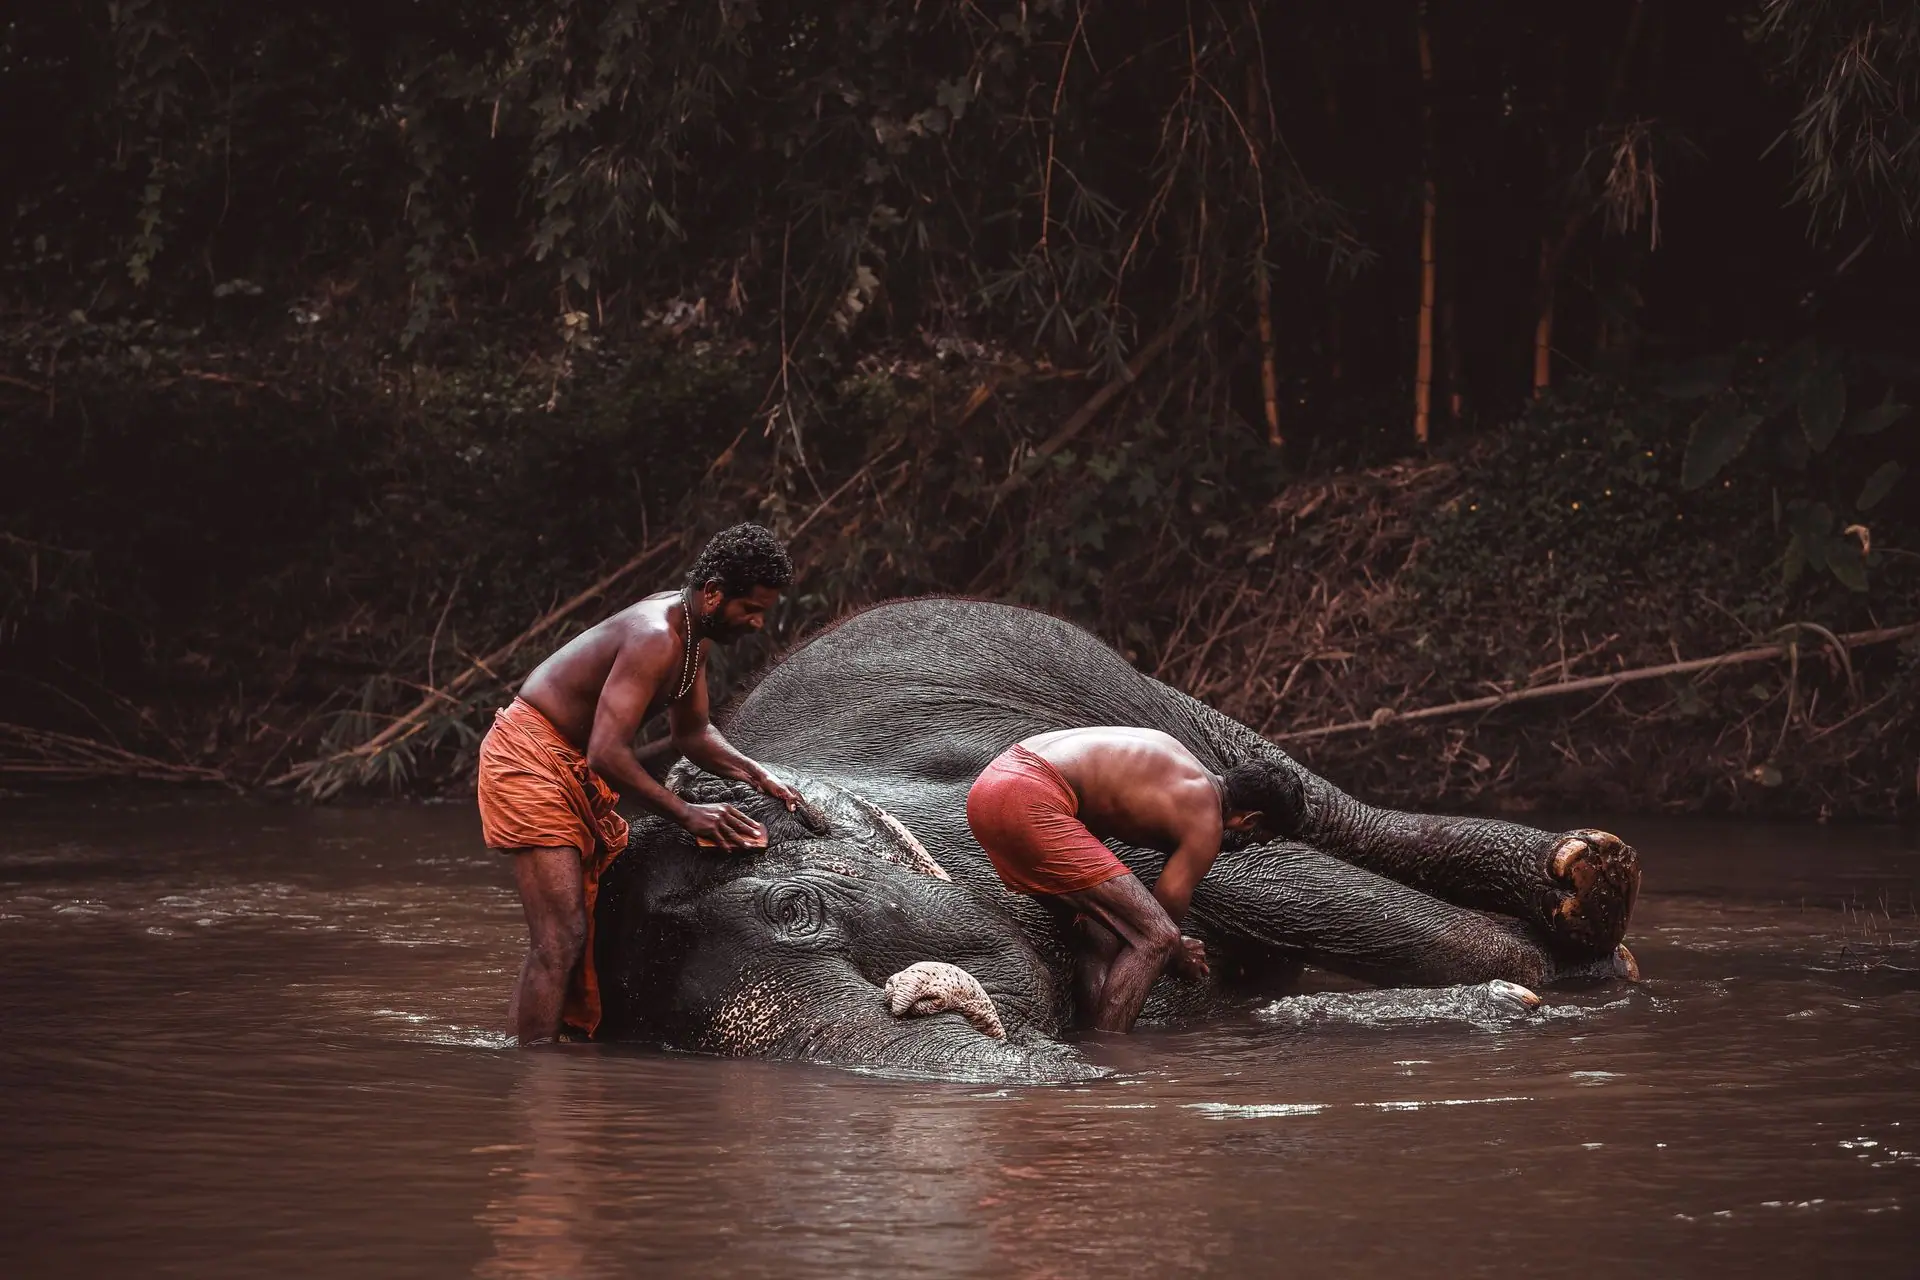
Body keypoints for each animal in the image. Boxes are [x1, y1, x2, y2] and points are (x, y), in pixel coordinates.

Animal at [590, 597, 1640, 1082]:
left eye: (797, 907)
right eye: (666, 1025)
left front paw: (1539, 976)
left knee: (1319, 810)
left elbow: (1274, 881)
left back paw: (1593, 883)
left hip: (1140, 689)